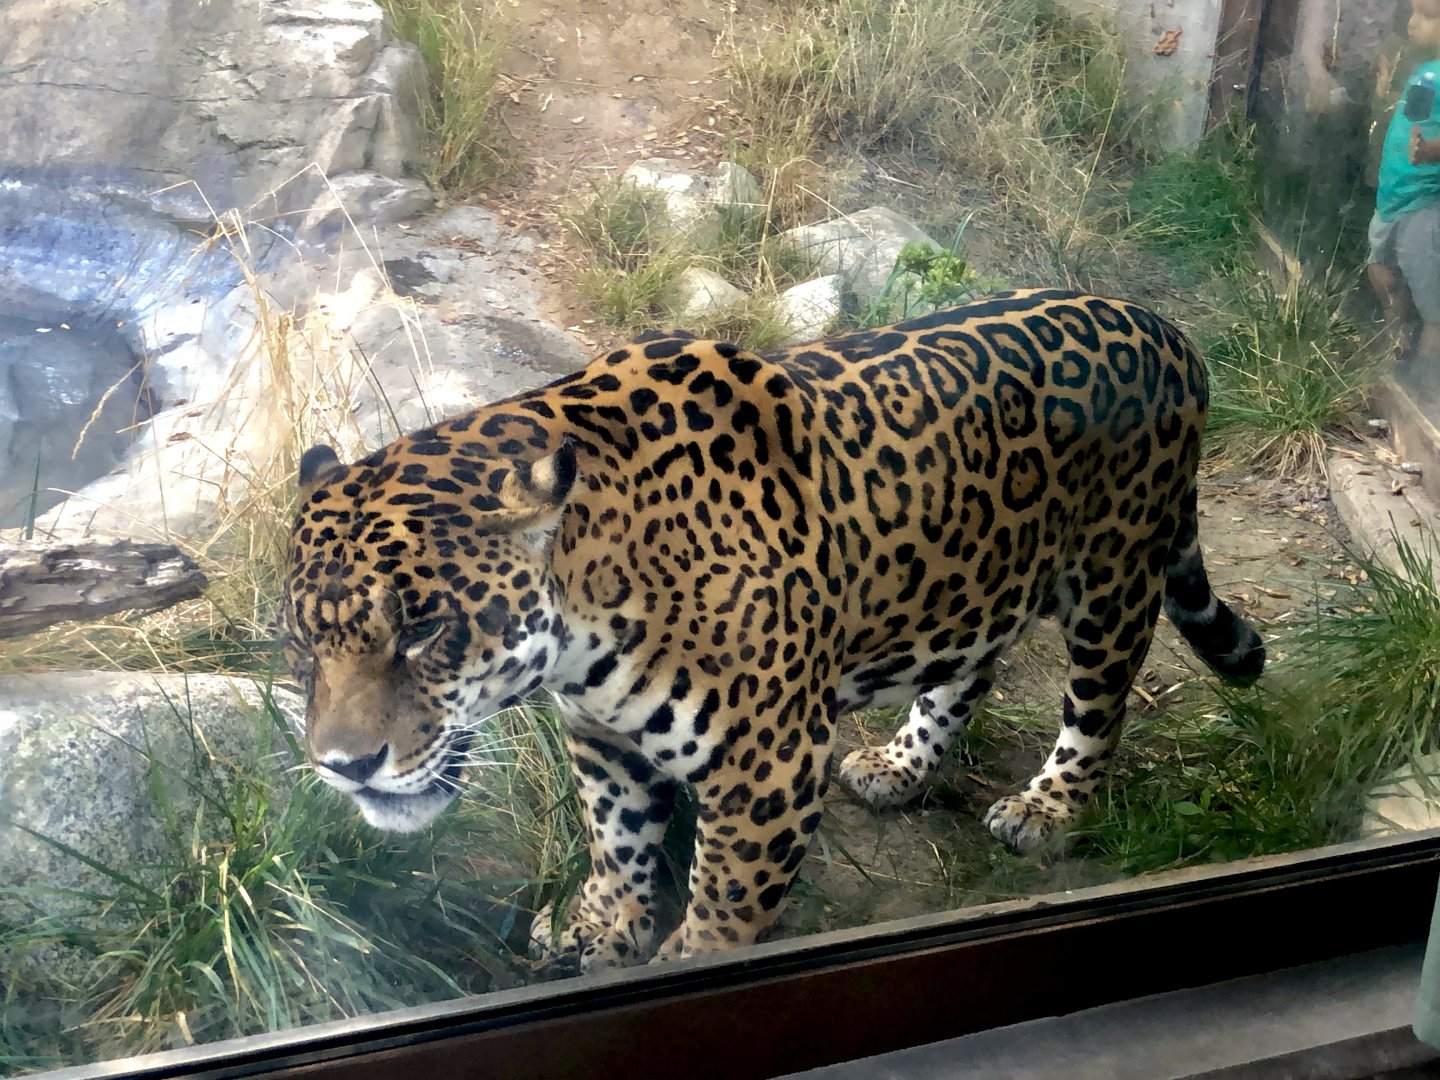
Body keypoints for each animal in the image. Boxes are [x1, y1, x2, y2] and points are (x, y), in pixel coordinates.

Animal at [282, 288, 1264, 974]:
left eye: (423, 629)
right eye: (300, 650)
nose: (343, 766)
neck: (588, 605)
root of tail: (1167, 329)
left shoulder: (769, 764)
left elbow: (723, 902)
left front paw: (678, 968)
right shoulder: (603, 736)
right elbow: (617, 840)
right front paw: (601, 928)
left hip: (1113, 580)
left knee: (1100, 707)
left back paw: (1046, 808)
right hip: (976, 568)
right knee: (968, 666)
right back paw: (901, 765)